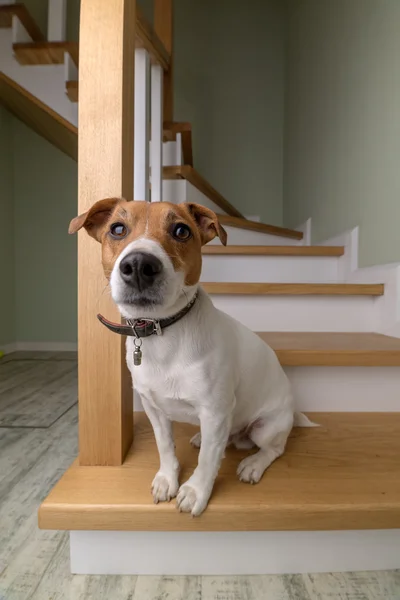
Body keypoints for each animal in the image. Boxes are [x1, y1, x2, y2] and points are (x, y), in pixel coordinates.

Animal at [70, 198, 310, 516]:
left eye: (181, 231)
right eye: (117, 229)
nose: (138, 265)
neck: (162, 333)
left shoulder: (214, 411)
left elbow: (208, 460)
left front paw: (196, 492)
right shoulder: (154, 409)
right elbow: (165, 447)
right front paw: (167, 479)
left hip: (266, 427)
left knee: (273, 449)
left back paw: (253, 464)